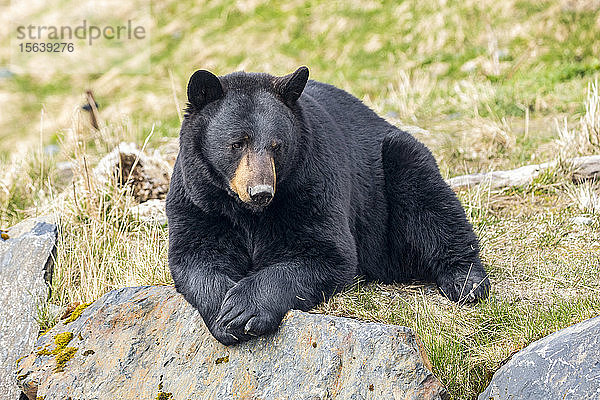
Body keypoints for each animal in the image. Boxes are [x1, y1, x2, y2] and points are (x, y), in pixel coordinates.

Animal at [166, 67, 490, 346]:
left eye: (276, 145)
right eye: (237, 143)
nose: (261, 193)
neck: (248, 213)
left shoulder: (311, 183)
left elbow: (327, 253)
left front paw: (244, 310)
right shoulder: (199, 198)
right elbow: (196, 255)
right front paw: (224, 312)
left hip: (393, 166)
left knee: (430, 204)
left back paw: (466, 281)